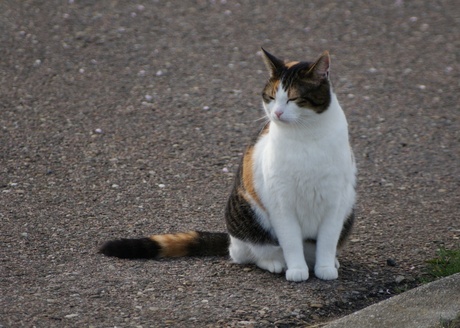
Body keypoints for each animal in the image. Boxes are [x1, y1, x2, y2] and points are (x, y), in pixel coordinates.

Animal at [102, 48, 358, 282]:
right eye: (271, 97)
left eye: (293, 98)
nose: (276, 113)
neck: (306, 136)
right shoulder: (281, 201)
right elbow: (291, 241)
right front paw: (296, 270)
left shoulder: (336, 201)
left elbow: (327, 240)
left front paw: (325, 268)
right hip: (249, 216)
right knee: (249, 253)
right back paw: (275, 262)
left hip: (348, 210)